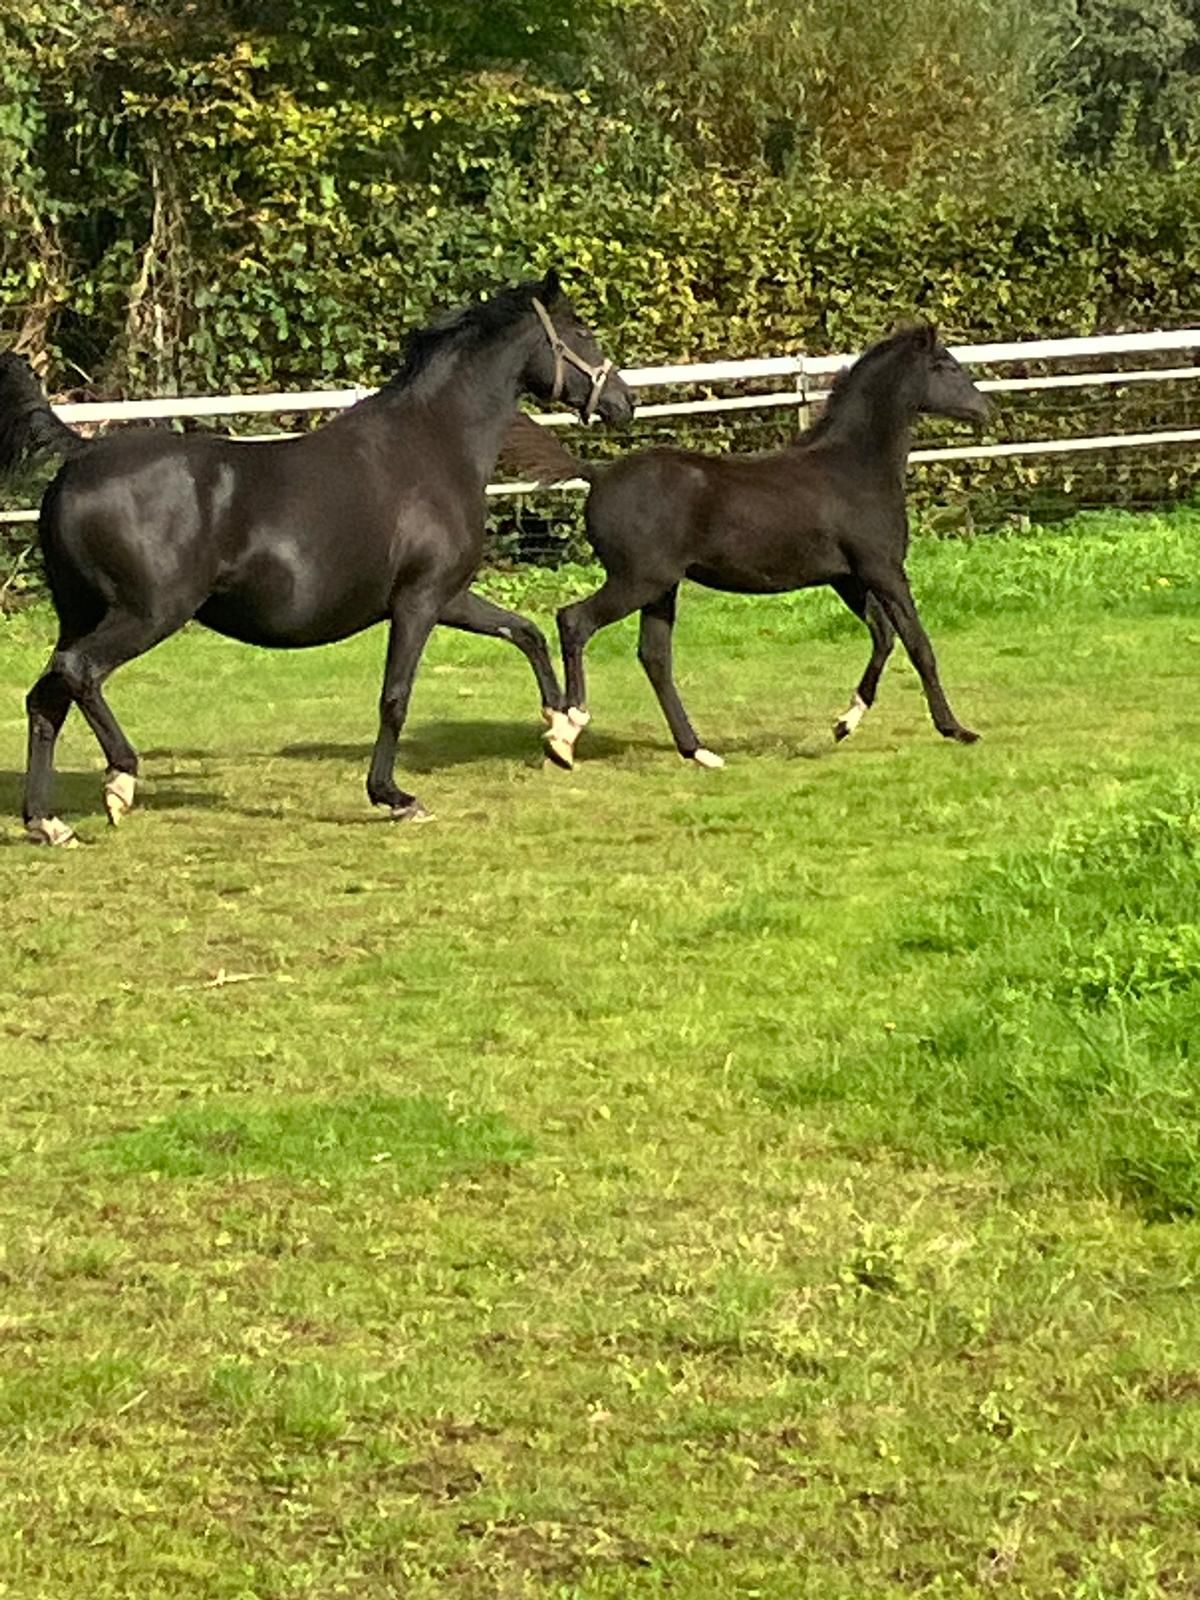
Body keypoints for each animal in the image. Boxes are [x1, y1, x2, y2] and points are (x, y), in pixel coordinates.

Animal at [0, 270, 633, 845]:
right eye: (582, 330)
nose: (623, 401)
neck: (433, 444)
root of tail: (78, 459)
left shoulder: (448, 596)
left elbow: (525, 632)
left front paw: (563, 733)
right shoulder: (419, 601)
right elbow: (395, 698)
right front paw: (395, 797)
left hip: (81, 613)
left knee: (46, 699)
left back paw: (47, 822)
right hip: (148, 613)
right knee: (79, 672)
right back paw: (120, 781)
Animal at [501, 321, 990, 770]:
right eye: (946, 365)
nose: (985, 409)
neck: (854, 467)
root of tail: (598, 474)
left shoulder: (847, 577)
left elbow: (883, 637)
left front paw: (843, 723)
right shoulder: (883, 568)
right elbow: (918, 644)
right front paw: (957, 729)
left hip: (662, 589)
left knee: (654, 656)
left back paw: (698, 751)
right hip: (639, 580)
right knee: (575, 621)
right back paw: (564, 734)